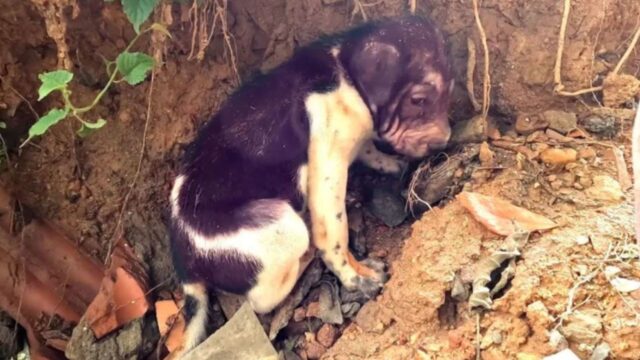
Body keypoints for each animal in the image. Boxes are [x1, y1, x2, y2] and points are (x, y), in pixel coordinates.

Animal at [168, 15, 452, 356]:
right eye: (418, 100)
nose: (444, 142)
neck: (346, 72)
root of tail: (185, 259)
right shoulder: (328, 167)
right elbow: (336, 237)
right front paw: (358, 278)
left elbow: (368, 148)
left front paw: (386, 162)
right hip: (283, 226)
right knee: (263, 299)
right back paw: (305, 261)